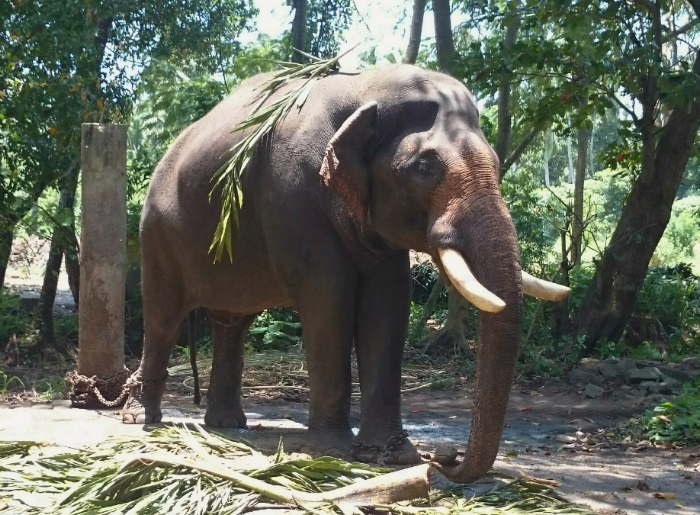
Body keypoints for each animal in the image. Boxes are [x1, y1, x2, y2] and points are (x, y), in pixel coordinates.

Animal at [121, 64, 568, 484]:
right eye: (424, 167)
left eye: (496, 162)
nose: (445, 458)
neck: (365, 87)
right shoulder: (295, 197)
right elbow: (328, 298)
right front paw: (332, 451)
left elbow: (387, 302)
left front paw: (392, 456)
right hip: (156, 235)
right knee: (163, 318)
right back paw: (144, 419)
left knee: (233, 323)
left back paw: (227, 425)